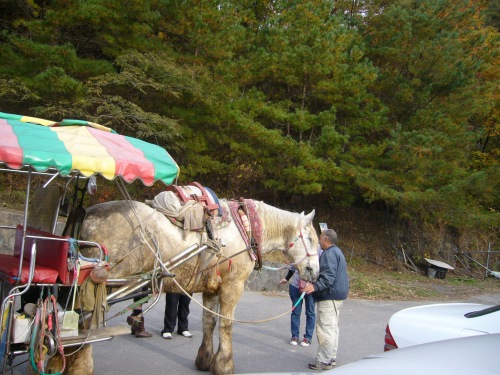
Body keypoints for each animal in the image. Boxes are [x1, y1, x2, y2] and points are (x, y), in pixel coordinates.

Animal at [78, 198, 320, 374]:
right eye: (309, 238)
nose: (315, 272)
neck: (246, 228)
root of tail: (88, 214)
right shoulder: (233, 286)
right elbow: (226, 324)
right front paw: (225, 364)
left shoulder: (211, 288)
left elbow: (209, 322)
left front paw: (206, 359)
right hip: (103, 285)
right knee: (85, 327)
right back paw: (82, 366)